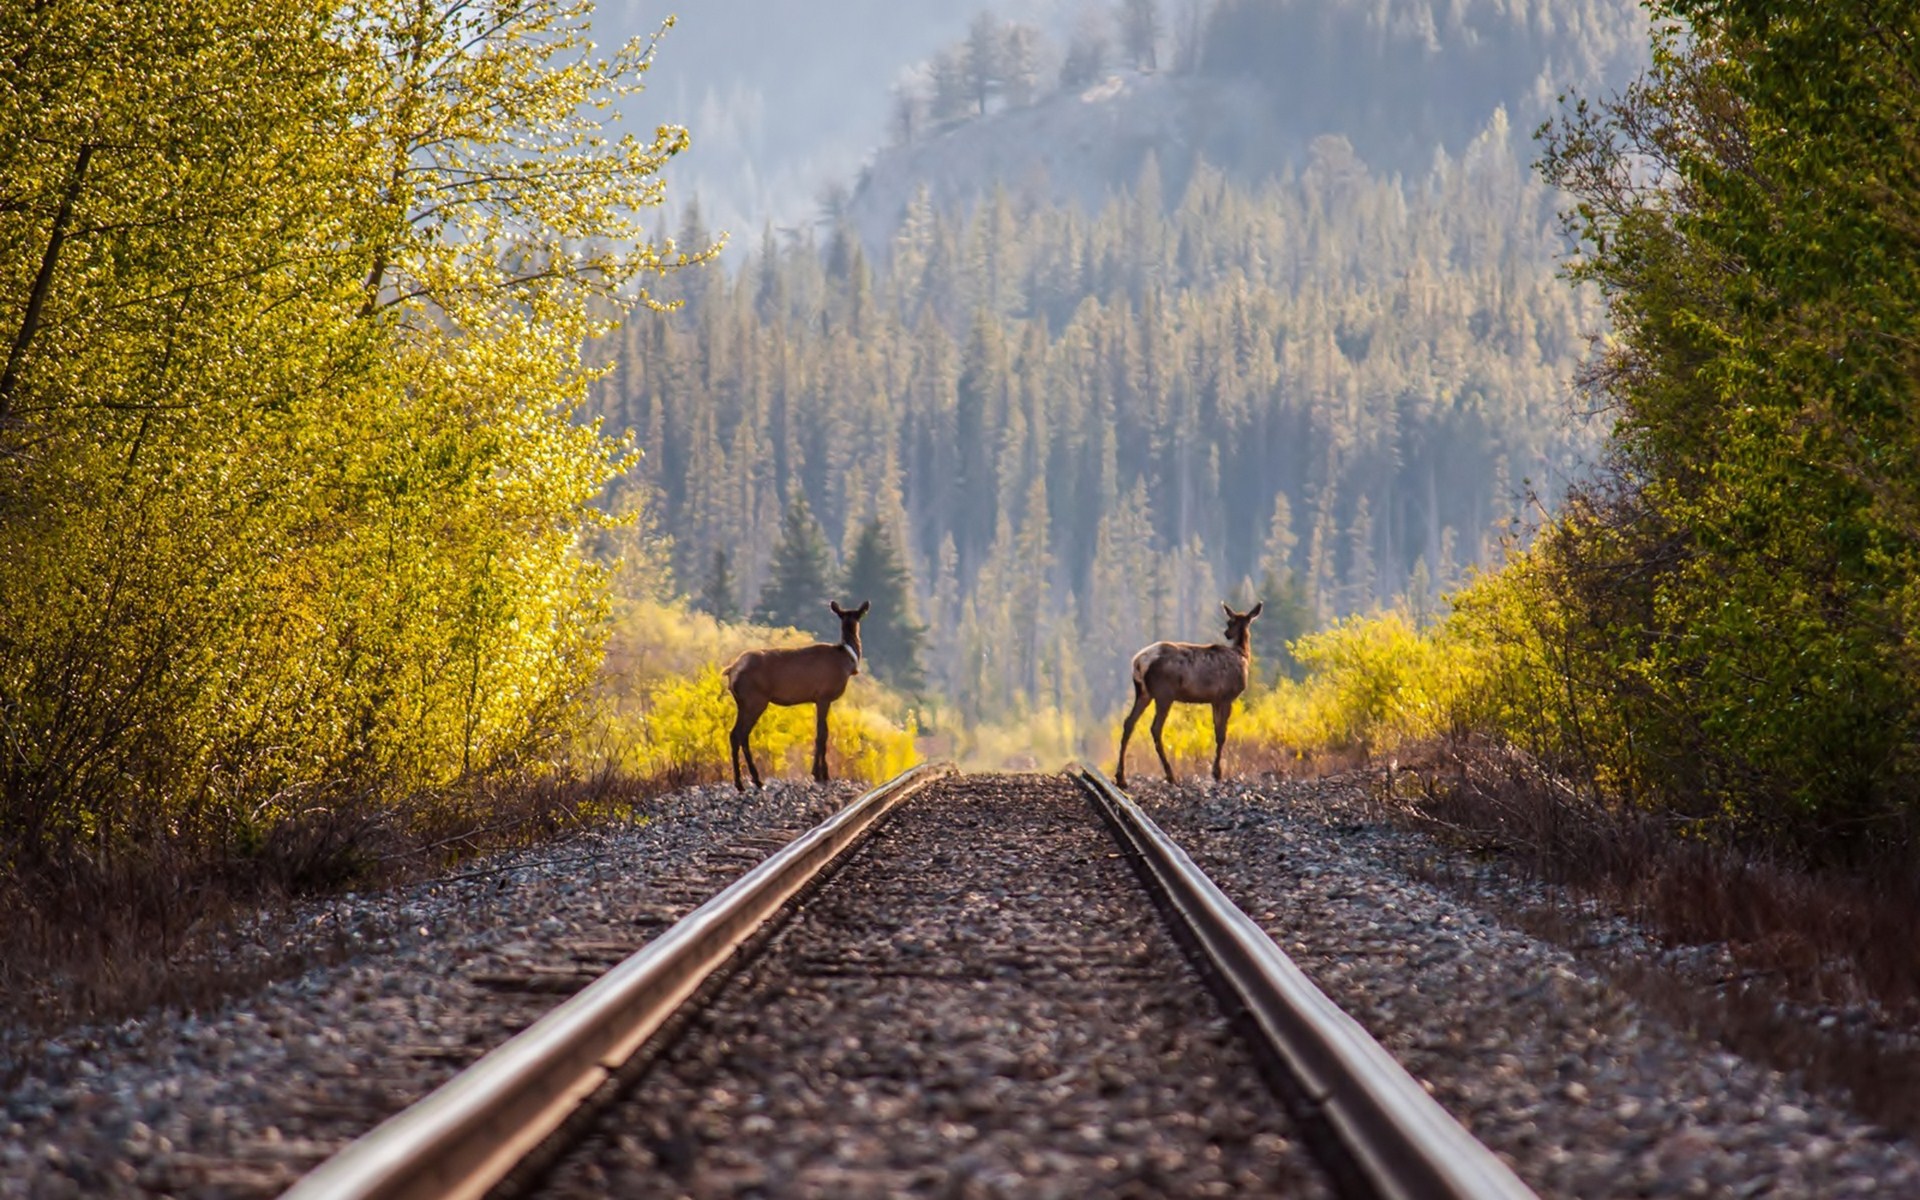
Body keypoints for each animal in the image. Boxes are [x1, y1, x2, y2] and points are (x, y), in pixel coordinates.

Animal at [721, 595, 871, 787]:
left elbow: (821, 732)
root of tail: (732, 670)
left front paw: (818, 773)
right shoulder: (824, 695)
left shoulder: (818, 699)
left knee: (734, 734)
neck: (846, 662)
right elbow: (822, 734)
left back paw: (742, 782)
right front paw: (821, 774)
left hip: (742, 702)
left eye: (855, 615)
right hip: (755, 700)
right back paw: (754, 779)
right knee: (742, 734)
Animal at [1113, 599, 1259, 787]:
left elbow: (1216, 731)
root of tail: (1139, 662)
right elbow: (1222, 735)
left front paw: (1216, 771)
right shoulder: (1227, 696)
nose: (1227, 633)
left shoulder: (1215, 700)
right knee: (1155, 728)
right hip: (1164, 693)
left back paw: (1121, 777)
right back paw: (1170, 775)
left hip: (1143, 693)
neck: (1243, 654)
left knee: (1129, 723)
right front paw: (1217, 773)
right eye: (1229, 622)